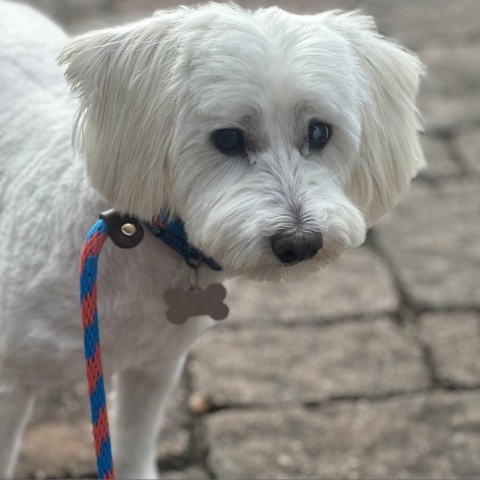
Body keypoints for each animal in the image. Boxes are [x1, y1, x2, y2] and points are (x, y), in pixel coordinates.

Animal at [0, 0, 422, 476]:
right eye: (228, 138)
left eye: (319, 132)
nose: (300, 243)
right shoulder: (8, 387)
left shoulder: (155, 369)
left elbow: (132, 449)